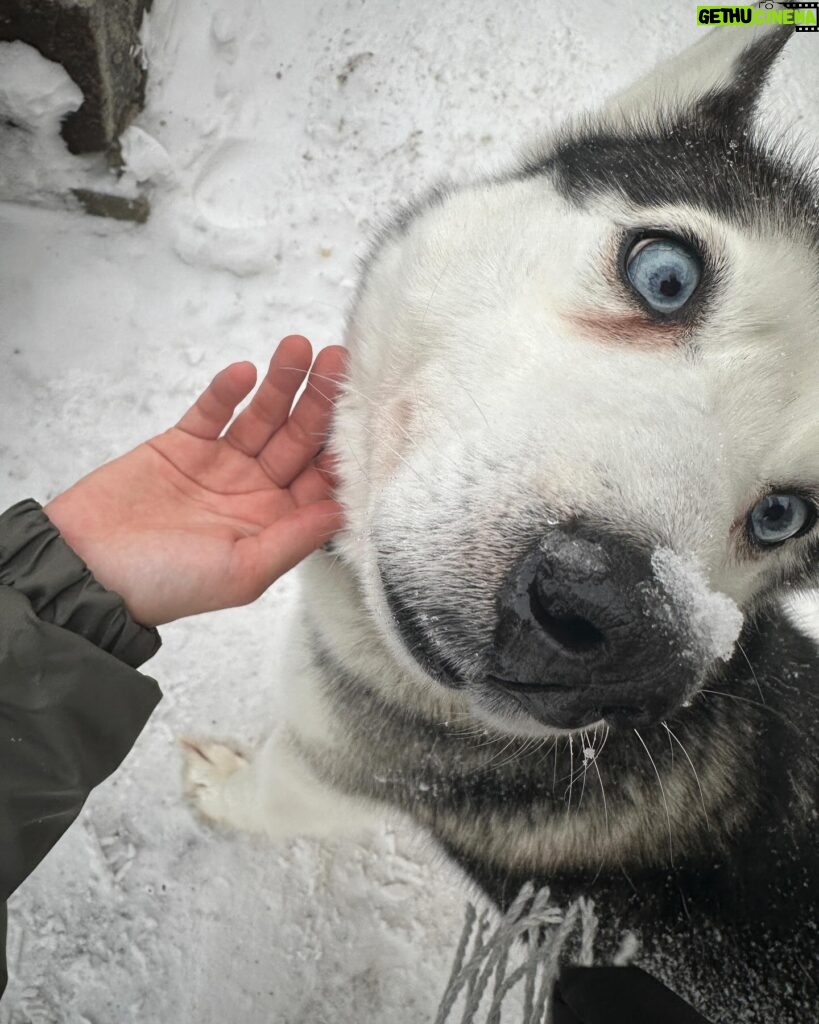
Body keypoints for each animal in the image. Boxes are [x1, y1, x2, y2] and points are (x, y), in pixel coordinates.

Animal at [185, 18, 818, 1024]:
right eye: (665, 274)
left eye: (786, 514)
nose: (616, 624)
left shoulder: (330, 776)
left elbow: (263, 795)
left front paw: (219, 788)